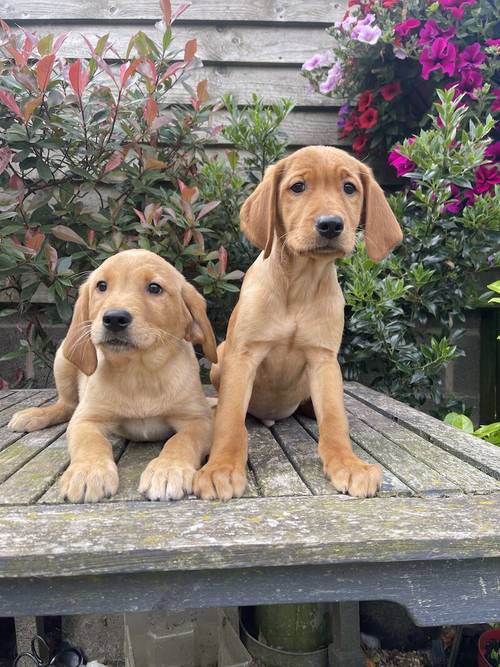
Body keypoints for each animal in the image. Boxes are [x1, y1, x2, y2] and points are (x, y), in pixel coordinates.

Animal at [7, 249, 215, 500]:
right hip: (63, 360)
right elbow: (92, 442)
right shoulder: (86, 419)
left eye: (155, 288)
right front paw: (88, 471)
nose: (114, 318)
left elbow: (181, 440)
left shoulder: (198, 420)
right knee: (66, 405)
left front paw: (167, 469)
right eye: (102, 286)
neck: (139, 373)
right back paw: (35, 415)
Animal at [193, 146, 404, 500]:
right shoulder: (243, 356)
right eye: (298, 187)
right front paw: (220, 467)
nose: (331, 225)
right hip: (221, 359)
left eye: (349, 188)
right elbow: (231, 419)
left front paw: (348, 463)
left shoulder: (323, 360)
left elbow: (334, 418)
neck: (300, 285)